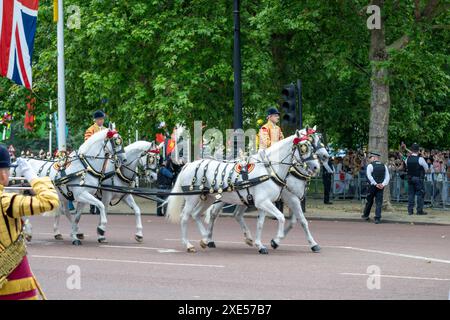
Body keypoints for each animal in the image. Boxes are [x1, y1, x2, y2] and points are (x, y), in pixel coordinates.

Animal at [165, 131, 320, 254]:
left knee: (197, 214)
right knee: (185, 216)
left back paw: (205, 239)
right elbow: (282, 218)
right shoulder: (269, 201)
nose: (316, 166)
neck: (269, 170)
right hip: (193, 198)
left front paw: (260, 245)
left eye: (313, 146)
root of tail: (189, 164)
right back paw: (189, 244)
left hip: (208, 198)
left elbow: (261, 223)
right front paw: (277, 239)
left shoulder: (264, 203)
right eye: (303, 147)